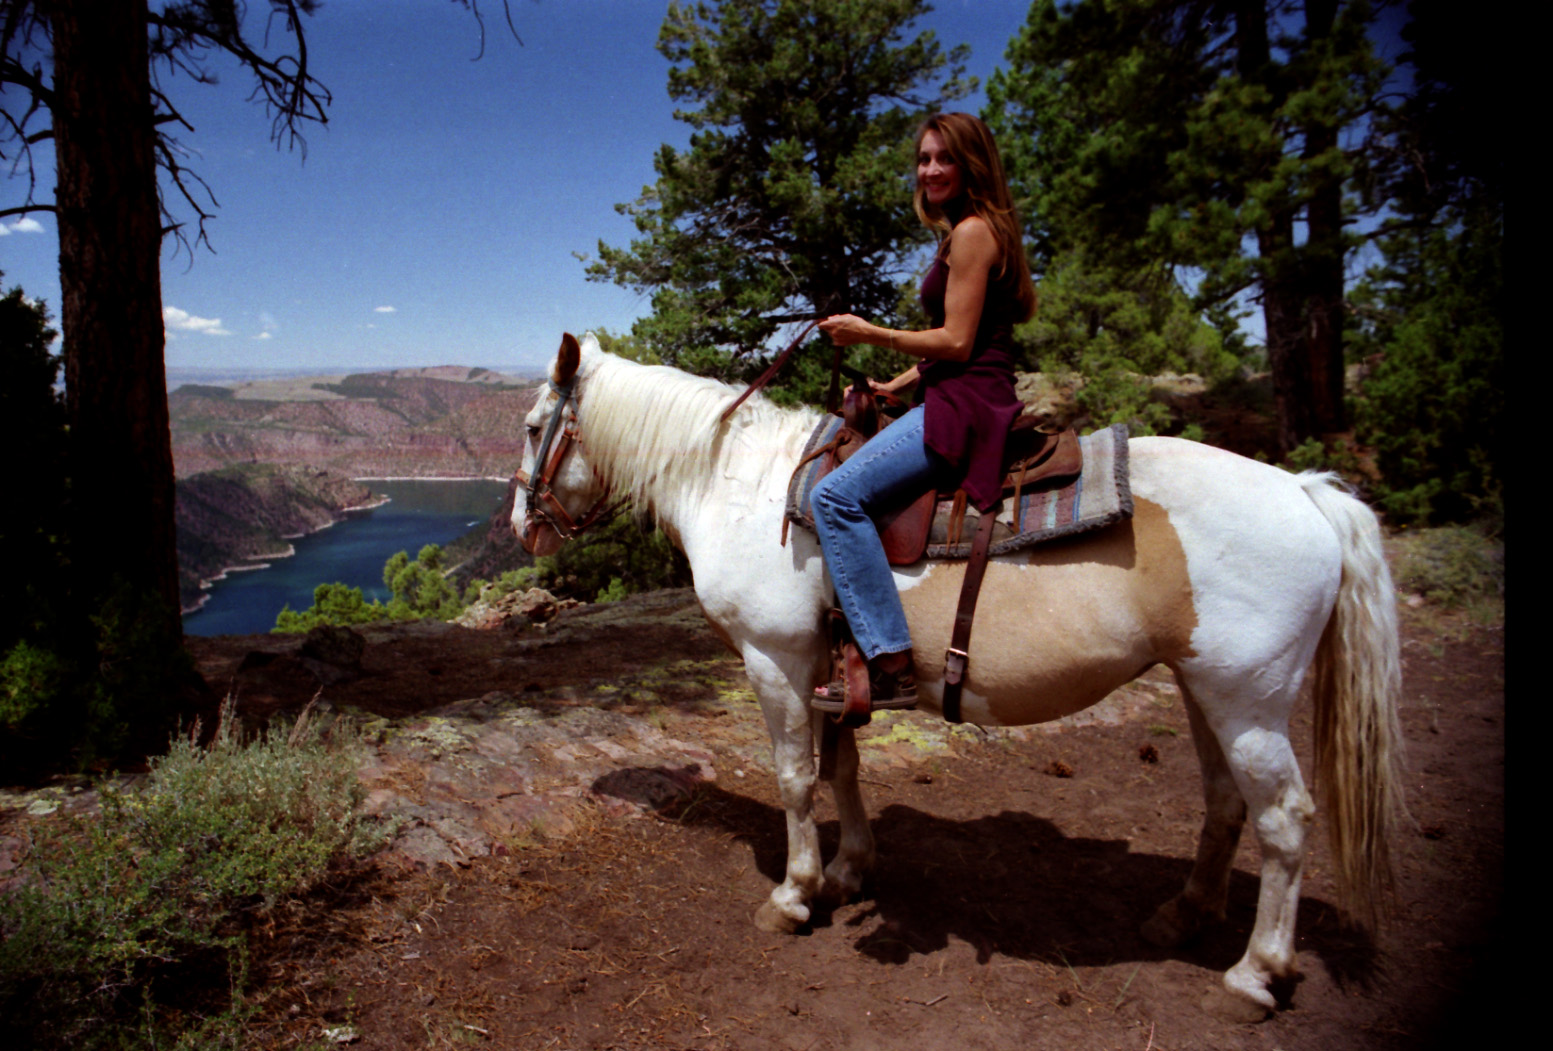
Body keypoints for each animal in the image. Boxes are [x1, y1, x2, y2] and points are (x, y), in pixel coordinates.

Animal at [514, 332, 1404, 1016]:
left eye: (529, 427)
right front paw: (848, 871)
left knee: (1283, 819)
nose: (522, 523)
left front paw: (794, 892)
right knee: (1225, 801)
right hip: (1202, 688)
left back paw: (1256, 973)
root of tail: (1304, 491)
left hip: (1248, 699)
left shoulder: (778, 660)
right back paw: (1184, 913)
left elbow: (796, 778)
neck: (741, 486)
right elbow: (842, 768)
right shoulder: (834, 667)